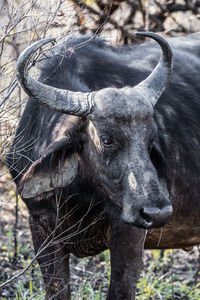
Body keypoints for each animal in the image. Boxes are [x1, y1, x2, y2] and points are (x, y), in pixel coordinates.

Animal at [6, 31, 200, 298]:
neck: (78, 196)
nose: (157, 213)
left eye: (151, 139)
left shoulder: (129, 235)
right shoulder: (40, 228)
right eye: (107, 139)